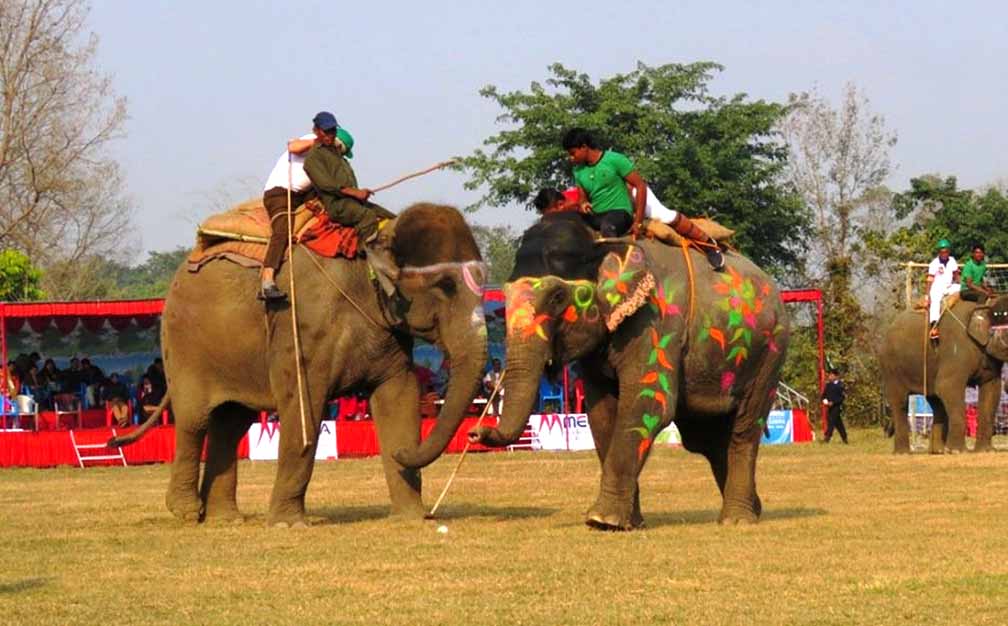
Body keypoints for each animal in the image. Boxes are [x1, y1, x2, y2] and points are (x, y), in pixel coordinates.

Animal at [122, 202, 491, 524]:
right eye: (446, 286)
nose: (474, 434)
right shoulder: (301, 324)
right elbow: (304, 404)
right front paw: (288, 524)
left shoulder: (390, 333)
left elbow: (399, 397)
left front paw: (411, 518)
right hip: (183, 343)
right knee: (194, 420)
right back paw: (185, 511)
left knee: (231, 422)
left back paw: (225, 519)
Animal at [399, 213, 786, 528]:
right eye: (504, 295)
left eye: (557, 297)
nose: (475, 432)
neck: (602, 241)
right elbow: (602, 414)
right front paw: (627, 523)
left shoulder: (658, 322)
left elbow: (648, 405)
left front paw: (603, 520)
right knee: (707, 438)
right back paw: (753, 509)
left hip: (770, 351)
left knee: (743, 429)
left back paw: (737, 520)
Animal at [878, 296, 1003, 451]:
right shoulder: (957, 349)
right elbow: (947, 387)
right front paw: (957, 451)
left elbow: (992, 389)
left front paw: (985, 450)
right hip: (891, 367)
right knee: (899, 402)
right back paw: (904, 453)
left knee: (936, 401)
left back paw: (938, 451)